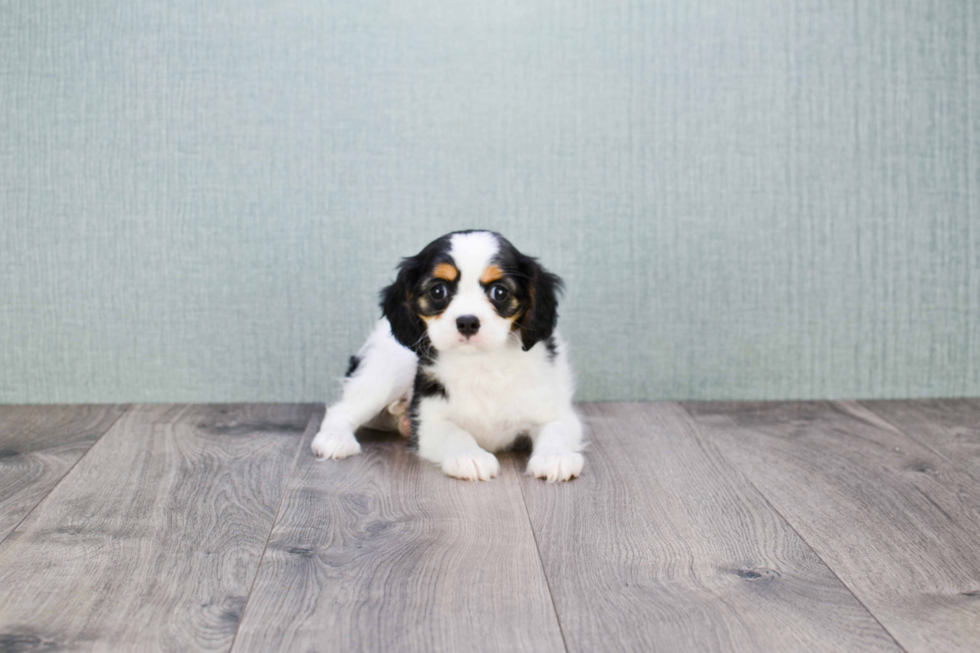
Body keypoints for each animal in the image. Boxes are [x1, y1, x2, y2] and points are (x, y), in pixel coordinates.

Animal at [310, 229, 580, 478]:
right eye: (438, 291)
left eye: (500, 292)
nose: (467, 322)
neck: (481, 363)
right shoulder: (429, 422)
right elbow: (455, 433)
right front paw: (470, 457)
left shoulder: (556, 409)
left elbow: (557, 429)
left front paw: (556, 457)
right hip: (386, 370)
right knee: (343, 409)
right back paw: (335, 438)